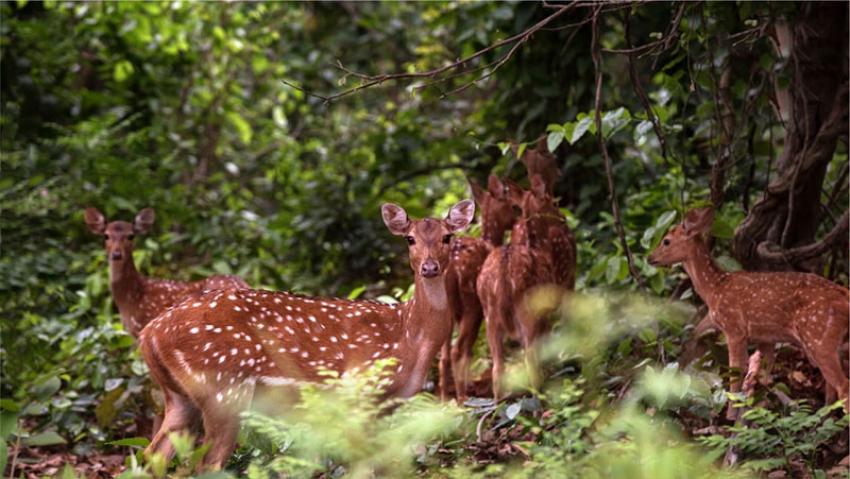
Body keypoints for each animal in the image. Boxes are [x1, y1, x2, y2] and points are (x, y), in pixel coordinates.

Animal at [136, 201, 474, 470]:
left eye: (447, 236)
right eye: (409, 239)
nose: (429, 267)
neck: (408, 336)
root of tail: (148, 334)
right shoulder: (360, 389)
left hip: (180, 397)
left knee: (152, 456)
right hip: (223, 389)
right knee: (206, 465)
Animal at [644, 208, 844, 418]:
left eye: (666, 240)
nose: (650, 257)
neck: (714, 288)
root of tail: (844, 295)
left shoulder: (734, 328)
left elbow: (736, 370)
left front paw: (732, 416)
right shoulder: (765, 337)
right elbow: (762, 375)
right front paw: (755, 409)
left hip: (820, 338)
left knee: (842, 385)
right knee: (832, 386)